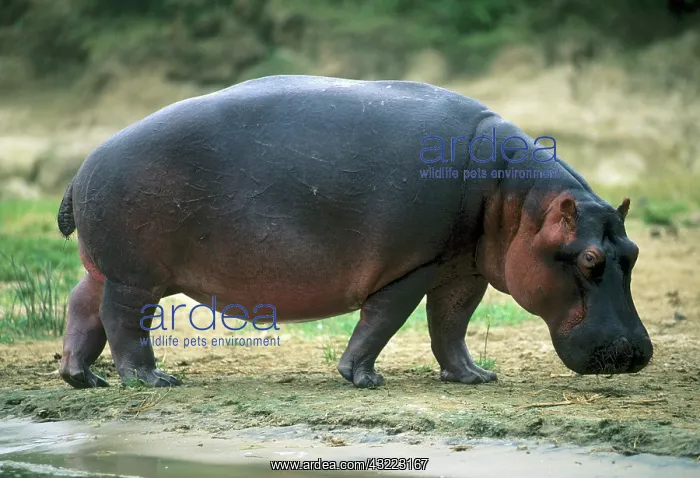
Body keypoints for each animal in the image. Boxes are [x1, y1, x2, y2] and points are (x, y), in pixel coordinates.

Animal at [56, 75, 653, 389]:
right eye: (589, 259)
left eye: (633, 250)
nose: (635, 354)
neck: (517, 198)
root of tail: (83, 166)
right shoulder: (414, 265)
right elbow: (385, 319)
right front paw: (362, 378)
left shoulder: (463, 270)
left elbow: (451, 325)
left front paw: (475, 376)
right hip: (136, 275)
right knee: (123, 322)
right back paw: (151, 380)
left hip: (104, 266)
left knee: (81, 307)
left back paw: (82, 379)